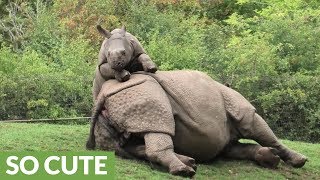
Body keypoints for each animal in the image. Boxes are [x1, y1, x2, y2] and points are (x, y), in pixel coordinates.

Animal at [87, 70, 308, 177]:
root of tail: (102, 94)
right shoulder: (244, 112)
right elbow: (266, 133)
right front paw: (298, 160)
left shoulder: (225, 144)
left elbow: (243, 148)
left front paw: (270, 158)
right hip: (140, 92)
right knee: (157, 124)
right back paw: (183, 171)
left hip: (124, 98)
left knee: (131, 144)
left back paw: (189, 162)